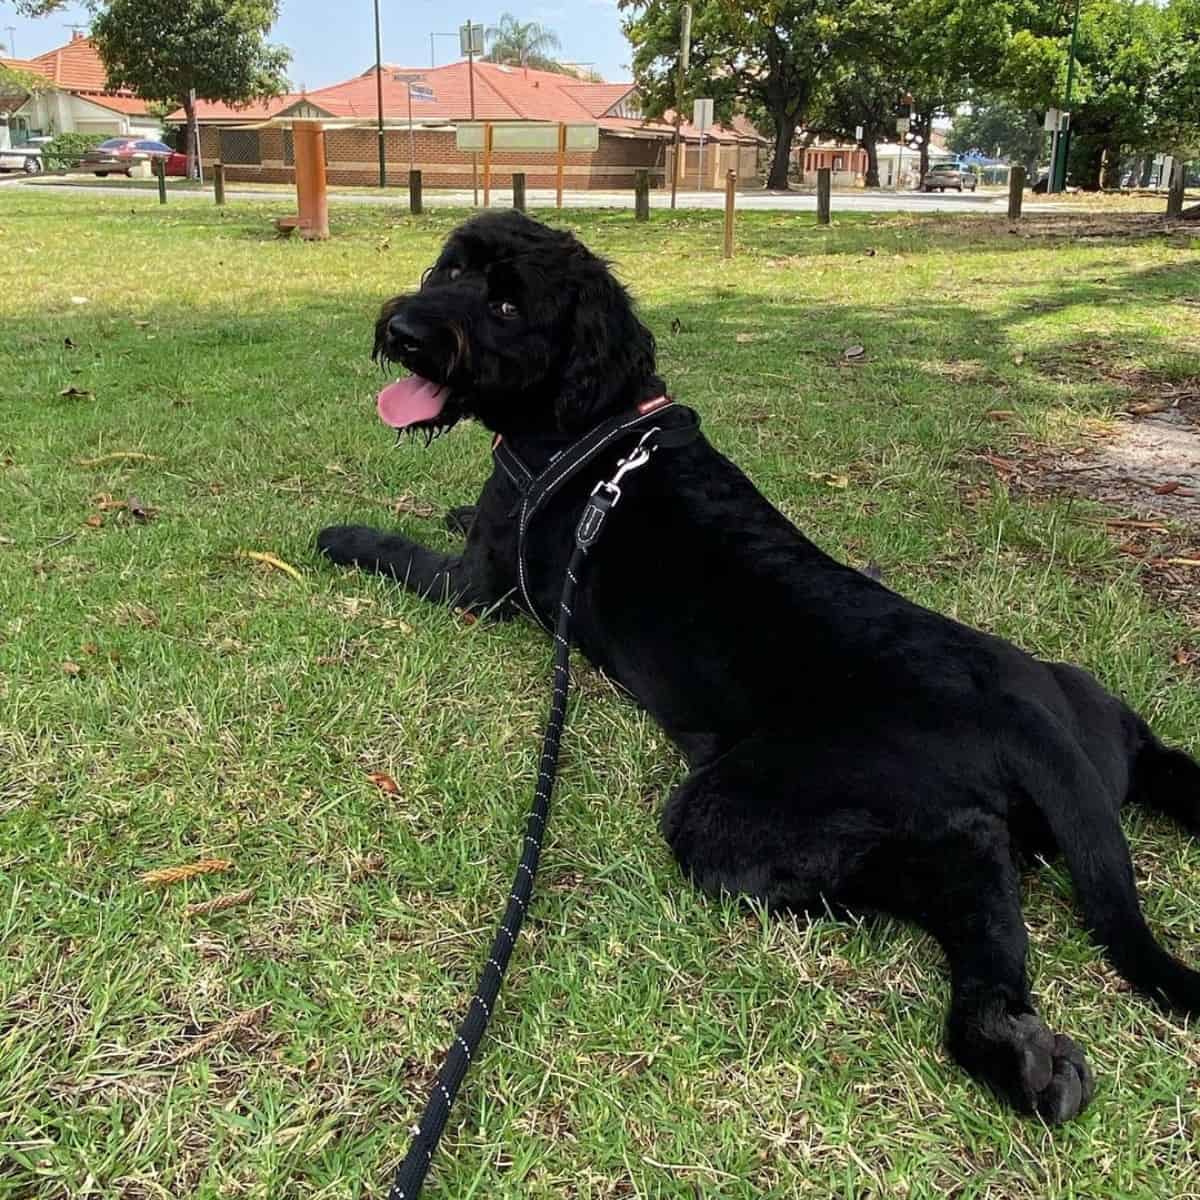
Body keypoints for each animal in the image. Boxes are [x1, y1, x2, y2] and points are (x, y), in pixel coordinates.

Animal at [316, 208, 1200, 1123]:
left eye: (503, 303)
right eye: (451, 267)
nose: (402, 329)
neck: (596, 422)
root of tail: (1022, 717)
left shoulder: (479, 586)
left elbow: (400, 553)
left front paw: (343, 537)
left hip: (740, 811)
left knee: (969, 860)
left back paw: (1002, 1049)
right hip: (1108, 725)